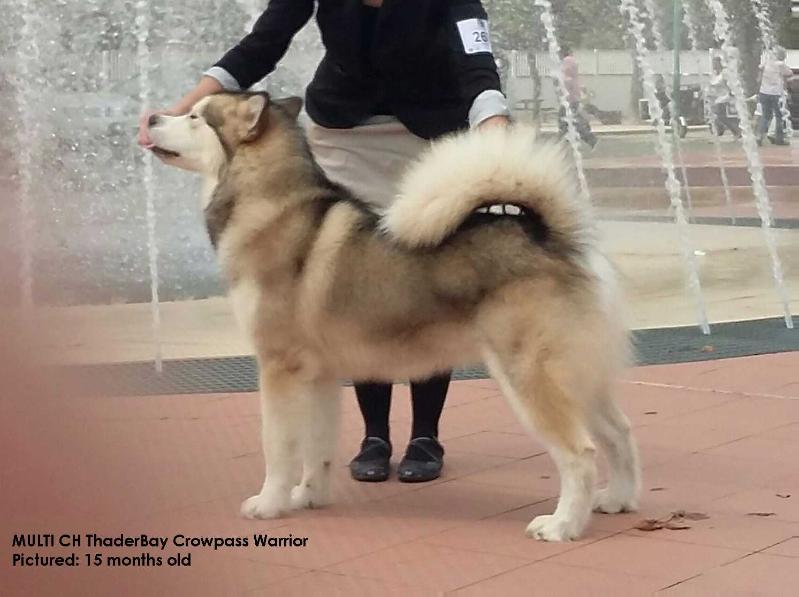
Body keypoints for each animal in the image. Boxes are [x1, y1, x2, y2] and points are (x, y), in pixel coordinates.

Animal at [148, 92, 636, 540]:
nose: (151, 116)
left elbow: (277, 446)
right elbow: (318, 446)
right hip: (581, 377)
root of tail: (546, 236)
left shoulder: (278, 367)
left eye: (195, 117)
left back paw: (562, 525)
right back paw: (618, 499)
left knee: (581, 453)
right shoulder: (320, 375)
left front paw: (269, 504)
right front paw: (309, 496)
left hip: (529, 376)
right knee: (619, 432)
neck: (270, 206)